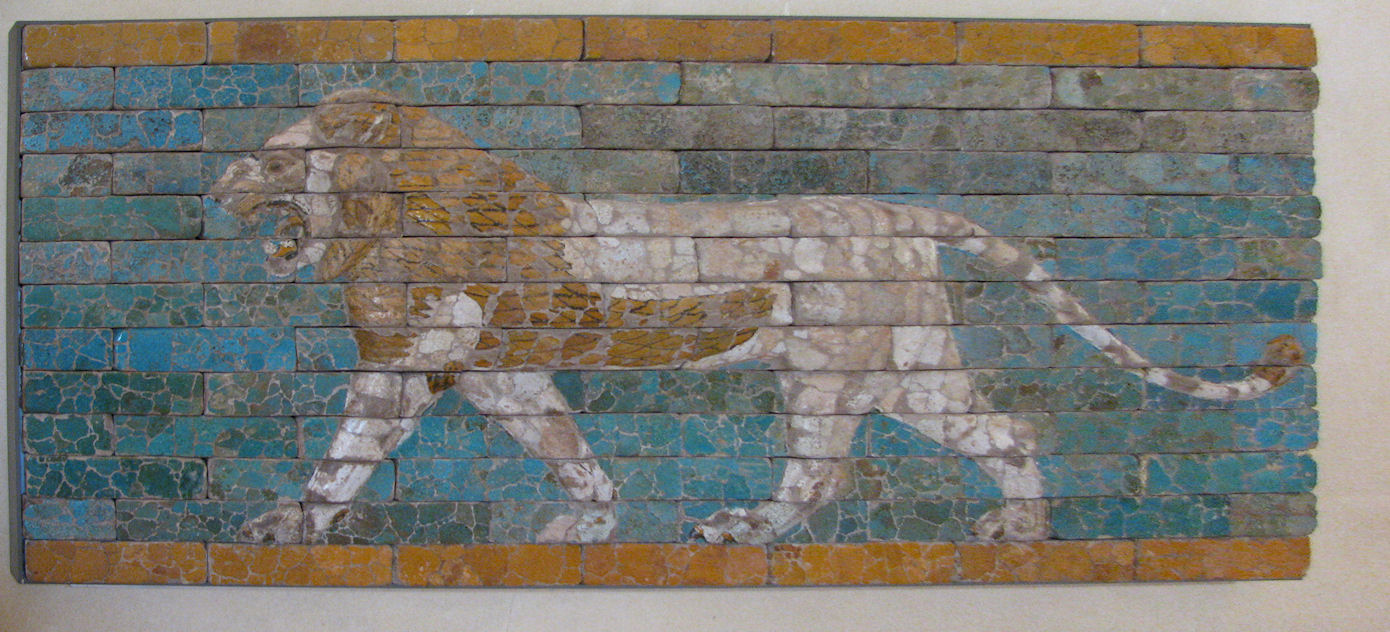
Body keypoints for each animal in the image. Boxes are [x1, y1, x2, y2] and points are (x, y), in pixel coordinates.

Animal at [210, 89, 1304, 545]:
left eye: (276, 158)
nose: (218, 186)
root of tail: (897, 211)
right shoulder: (498, 371)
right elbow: (563, 442)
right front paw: (590, 516)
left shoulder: (412, 362)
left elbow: (346, 451)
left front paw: (283, 523)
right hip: (909, 370)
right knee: (1008, 429)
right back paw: (1019, 527)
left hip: (835, 375)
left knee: (821, 473)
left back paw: (746, 527)